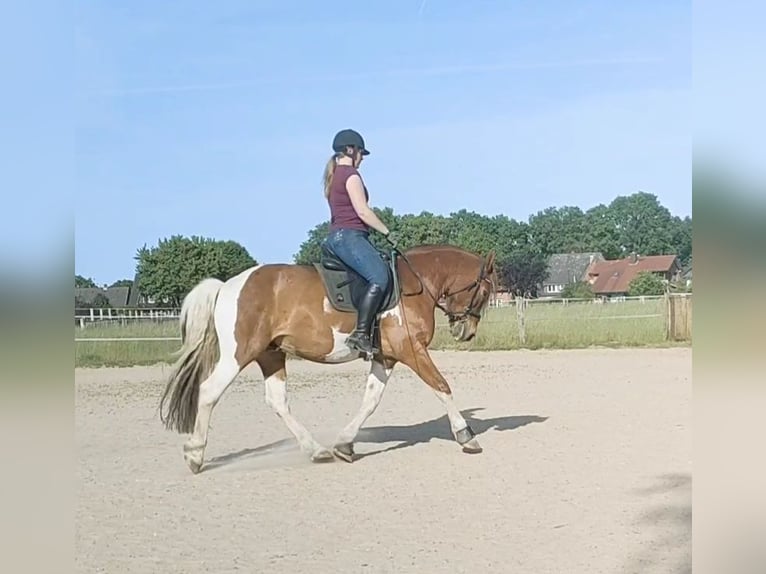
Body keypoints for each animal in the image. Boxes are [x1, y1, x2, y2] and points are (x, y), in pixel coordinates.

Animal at [159, 245, 500, 474]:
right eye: (485, 293)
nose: (465, 332)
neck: (414, 286)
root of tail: (226, 286)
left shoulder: (387, 357)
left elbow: (370, 401)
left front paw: (345, 445)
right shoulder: (411, 351)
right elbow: (442, 387)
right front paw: (467, 436)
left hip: (271, 355)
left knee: (277, 401)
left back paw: (316, 450)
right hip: (238, 354)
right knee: (209, 392)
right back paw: (194, 455)